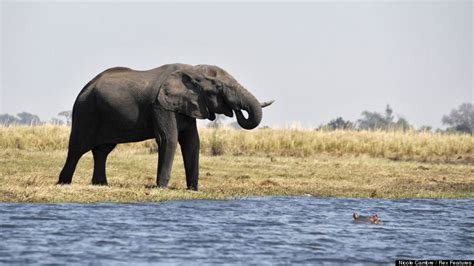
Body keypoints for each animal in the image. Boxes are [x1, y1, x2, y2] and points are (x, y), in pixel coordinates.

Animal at [58, 63, 274, 190]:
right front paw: (161, 188)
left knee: (102, 150)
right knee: (77, 149)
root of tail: (84, 88)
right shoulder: (160, 105)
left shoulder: (187, 105)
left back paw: (101, 185)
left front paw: (193, 189)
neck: (192, 69)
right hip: (86, 111)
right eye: (220, 88)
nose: (235, 110)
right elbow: (168, 139)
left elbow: (192, 142)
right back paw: (63, 183)